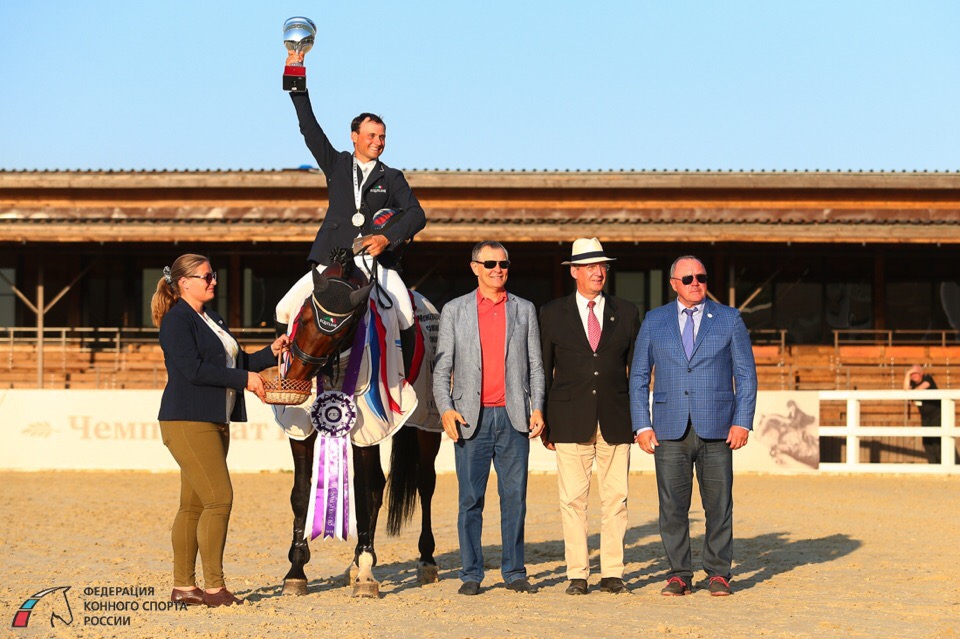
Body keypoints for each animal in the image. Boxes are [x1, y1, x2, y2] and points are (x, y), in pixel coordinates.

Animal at [277, 250, 442, 598]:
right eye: (304, 317)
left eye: (341, 333)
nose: (295, 381)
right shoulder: (300, 428)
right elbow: (301, 493)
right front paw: (296, 571)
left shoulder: (368, 426)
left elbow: (365, 495)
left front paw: (367, 577)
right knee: (378, 484)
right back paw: (355, 564)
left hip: (425, 422)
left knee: (424, 483)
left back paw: (425, 561)